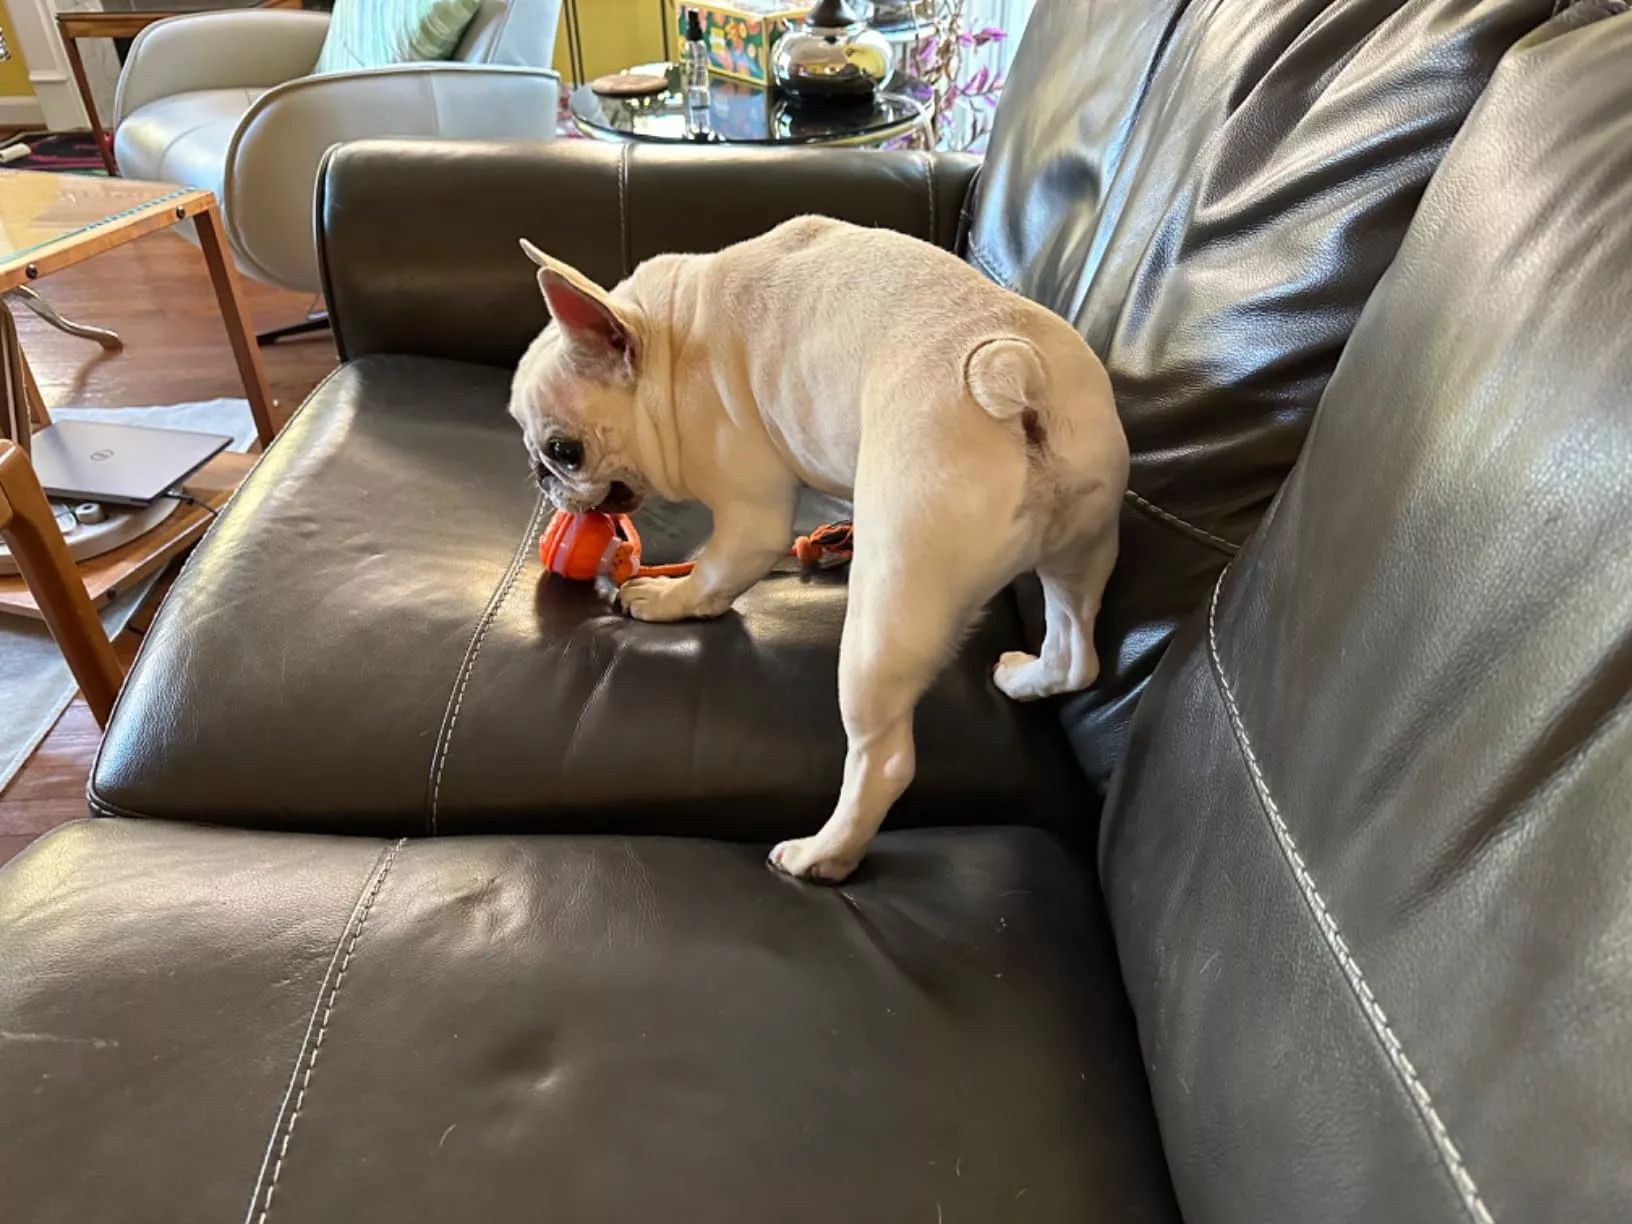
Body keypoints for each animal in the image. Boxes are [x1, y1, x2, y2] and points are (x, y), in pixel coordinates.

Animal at [509, 217, 1127, 883]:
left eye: (564, 450)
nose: (539, 474)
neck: (669, 337)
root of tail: (1014, 379)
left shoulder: (749, 516)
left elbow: (714, 573)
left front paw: (666, 598)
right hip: (1082, 547)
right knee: (1074, 653)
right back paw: (1024, 676)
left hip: (886, 612)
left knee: (884, 762)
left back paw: (822, 854)